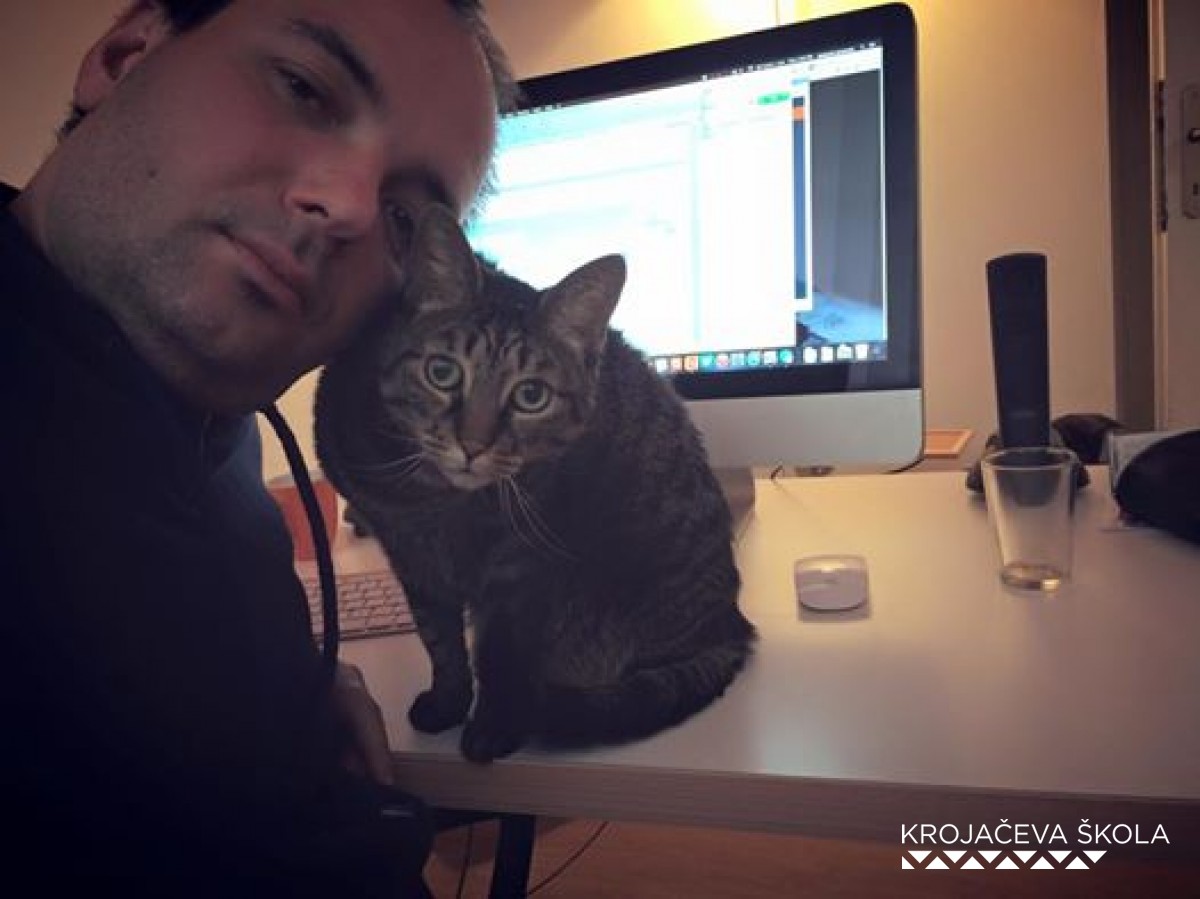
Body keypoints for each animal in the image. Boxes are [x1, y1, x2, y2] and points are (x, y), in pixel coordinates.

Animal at [314, 204, 756, 764]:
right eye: (442, 372)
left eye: (530, 396)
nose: (472, 445)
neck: (432, 502)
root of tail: (732, 628)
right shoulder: (411, 561)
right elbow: (440, 641)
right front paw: (448, 702)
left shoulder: (519, 572)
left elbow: (499, 656)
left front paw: (492, 727)